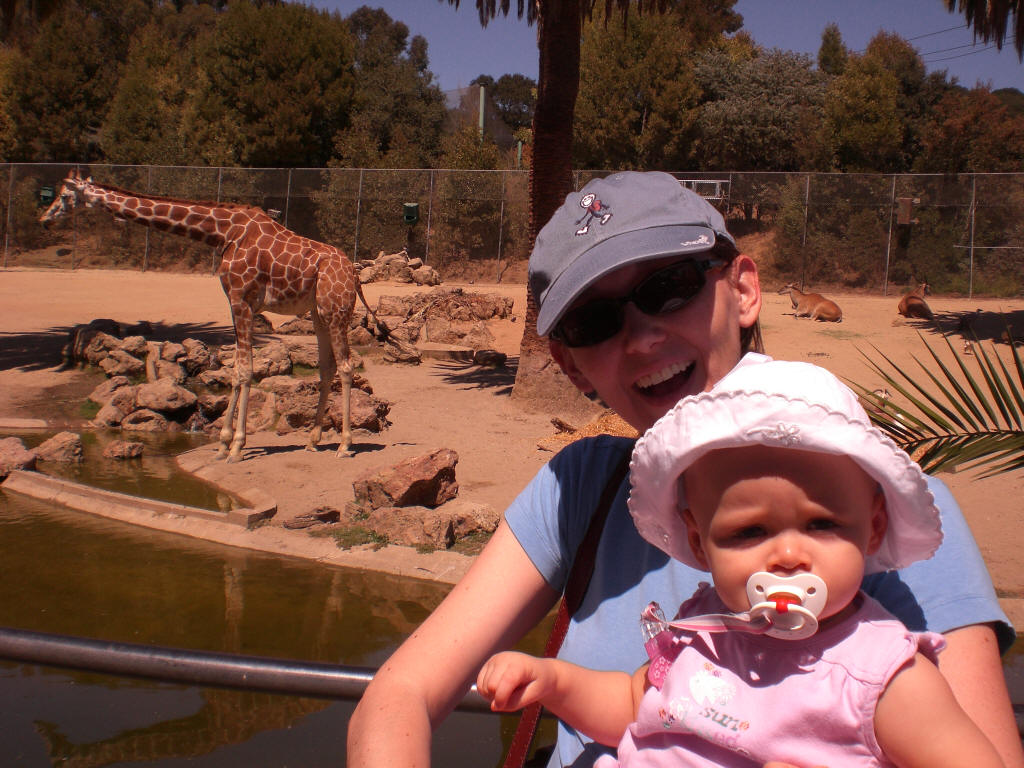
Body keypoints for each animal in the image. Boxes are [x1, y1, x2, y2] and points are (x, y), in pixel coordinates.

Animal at [40, 169, 386, 461]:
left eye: (65, 194)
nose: (45, 219)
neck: (221, 231)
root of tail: (354, 274)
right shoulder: (236, 303)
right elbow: (236, 370)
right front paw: (222, 444)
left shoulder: (240, 299)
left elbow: (244, 371)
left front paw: (235, 446)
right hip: (317, 313)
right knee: (327, 367)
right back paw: (313, 440)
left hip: (335, 311)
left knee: (345, 366)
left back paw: (344, 444)